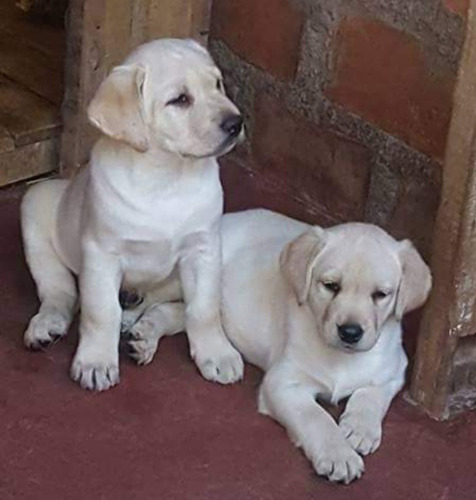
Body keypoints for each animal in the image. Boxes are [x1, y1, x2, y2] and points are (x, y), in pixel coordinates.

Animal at [21, 39, 245, 390]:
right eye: (180, 100)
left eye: (217, 84)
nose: (236, 124)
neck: (166, 178)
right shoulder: (101, 253)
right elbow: (101, 311)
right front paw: (96, 362)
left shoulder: (204, 250)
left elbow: (204, 309)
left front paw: (216, 353)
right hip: (34, 204)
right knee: (61, 291)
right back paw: (47, 324)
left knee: (169, 309)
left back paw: (143, 334)